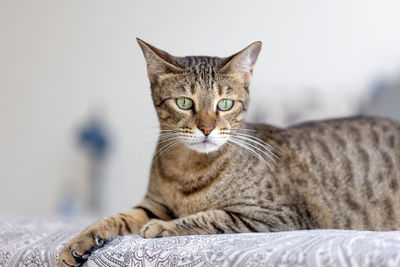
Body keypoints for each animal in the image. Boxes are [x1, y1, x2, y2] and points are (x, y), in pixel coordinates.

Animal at [59, 38, 400, 266]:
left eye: (225, 104)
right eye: (184, 102)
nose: (207, 128)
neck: (187, 168)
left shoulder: (276, 215)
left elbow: (209, 217)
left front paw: (162, 228)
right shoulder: (154, 204)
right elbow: (114, 217)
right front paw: (80, 241)